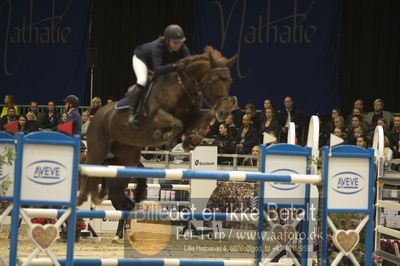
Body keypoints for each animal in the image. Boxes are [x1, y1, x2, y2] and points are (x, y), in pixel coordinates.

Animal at [77, 46, 238, 242]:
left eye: (229, 81)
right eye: (214, 80)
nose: (224, 112)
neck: (183, 87)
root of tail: (97, 114)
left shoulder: (191, 118)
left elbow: (204, 116)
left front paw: (191, 141)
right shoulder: (158, 116)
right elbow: (176, 124)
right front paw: (169, 136)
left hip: (123, 163)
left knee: (123, 202)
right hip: (98, 151)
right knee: (89, 167)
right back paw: (84, 200)